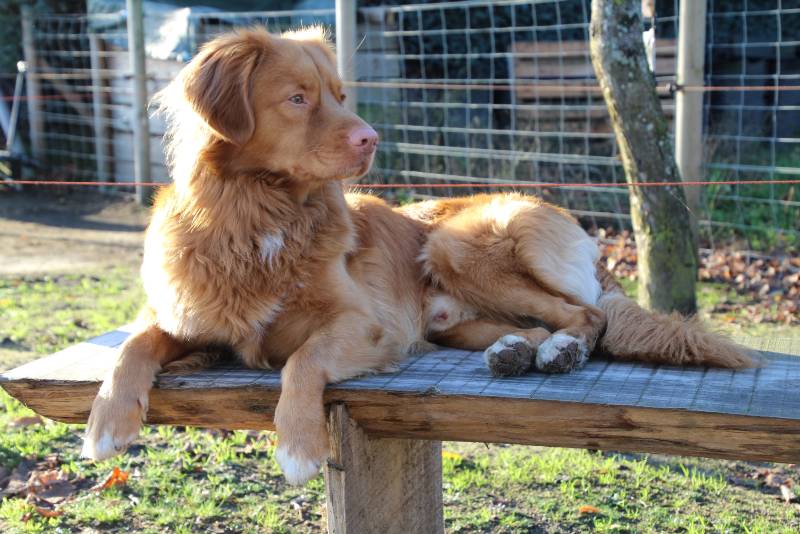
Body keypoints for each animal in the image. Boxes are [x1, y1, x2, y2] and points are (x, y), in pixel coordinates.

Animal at [81, 26, 756, 486]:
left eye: (340, 94)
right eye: (298, 99)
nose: (371, 138)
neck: (260, 218)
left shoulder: (367, 325)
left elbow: (302, 359)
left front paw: (297, 445)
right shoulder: (187, 317)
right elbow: (131, 345)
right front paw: (106, 423)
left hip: (457, 244)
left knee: (584, 316)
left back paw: (560, 351)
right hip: (450, 313)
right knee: (535, 324)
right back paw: (514, 352)